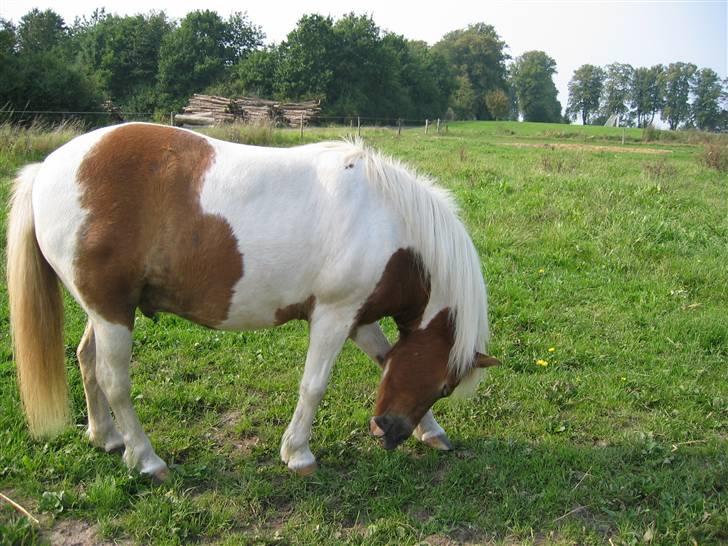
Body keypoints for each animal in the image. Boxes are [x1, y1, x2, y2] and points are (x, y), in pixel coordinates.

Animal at [7, 123, 499, 480]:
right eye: (445, 387)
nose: (387, 431)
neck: (385, 220)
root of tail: (47, 168)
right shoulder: (334, 314)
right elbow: (314, 385)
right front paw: (298, 453)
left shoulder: (358, 317)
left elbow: (385, 360)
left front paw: (431, 432)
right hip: (113, 313)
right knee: (114, 381)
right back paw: (146, 459)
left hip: (105, 311)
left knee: (86, 359)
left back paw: (106, 437)